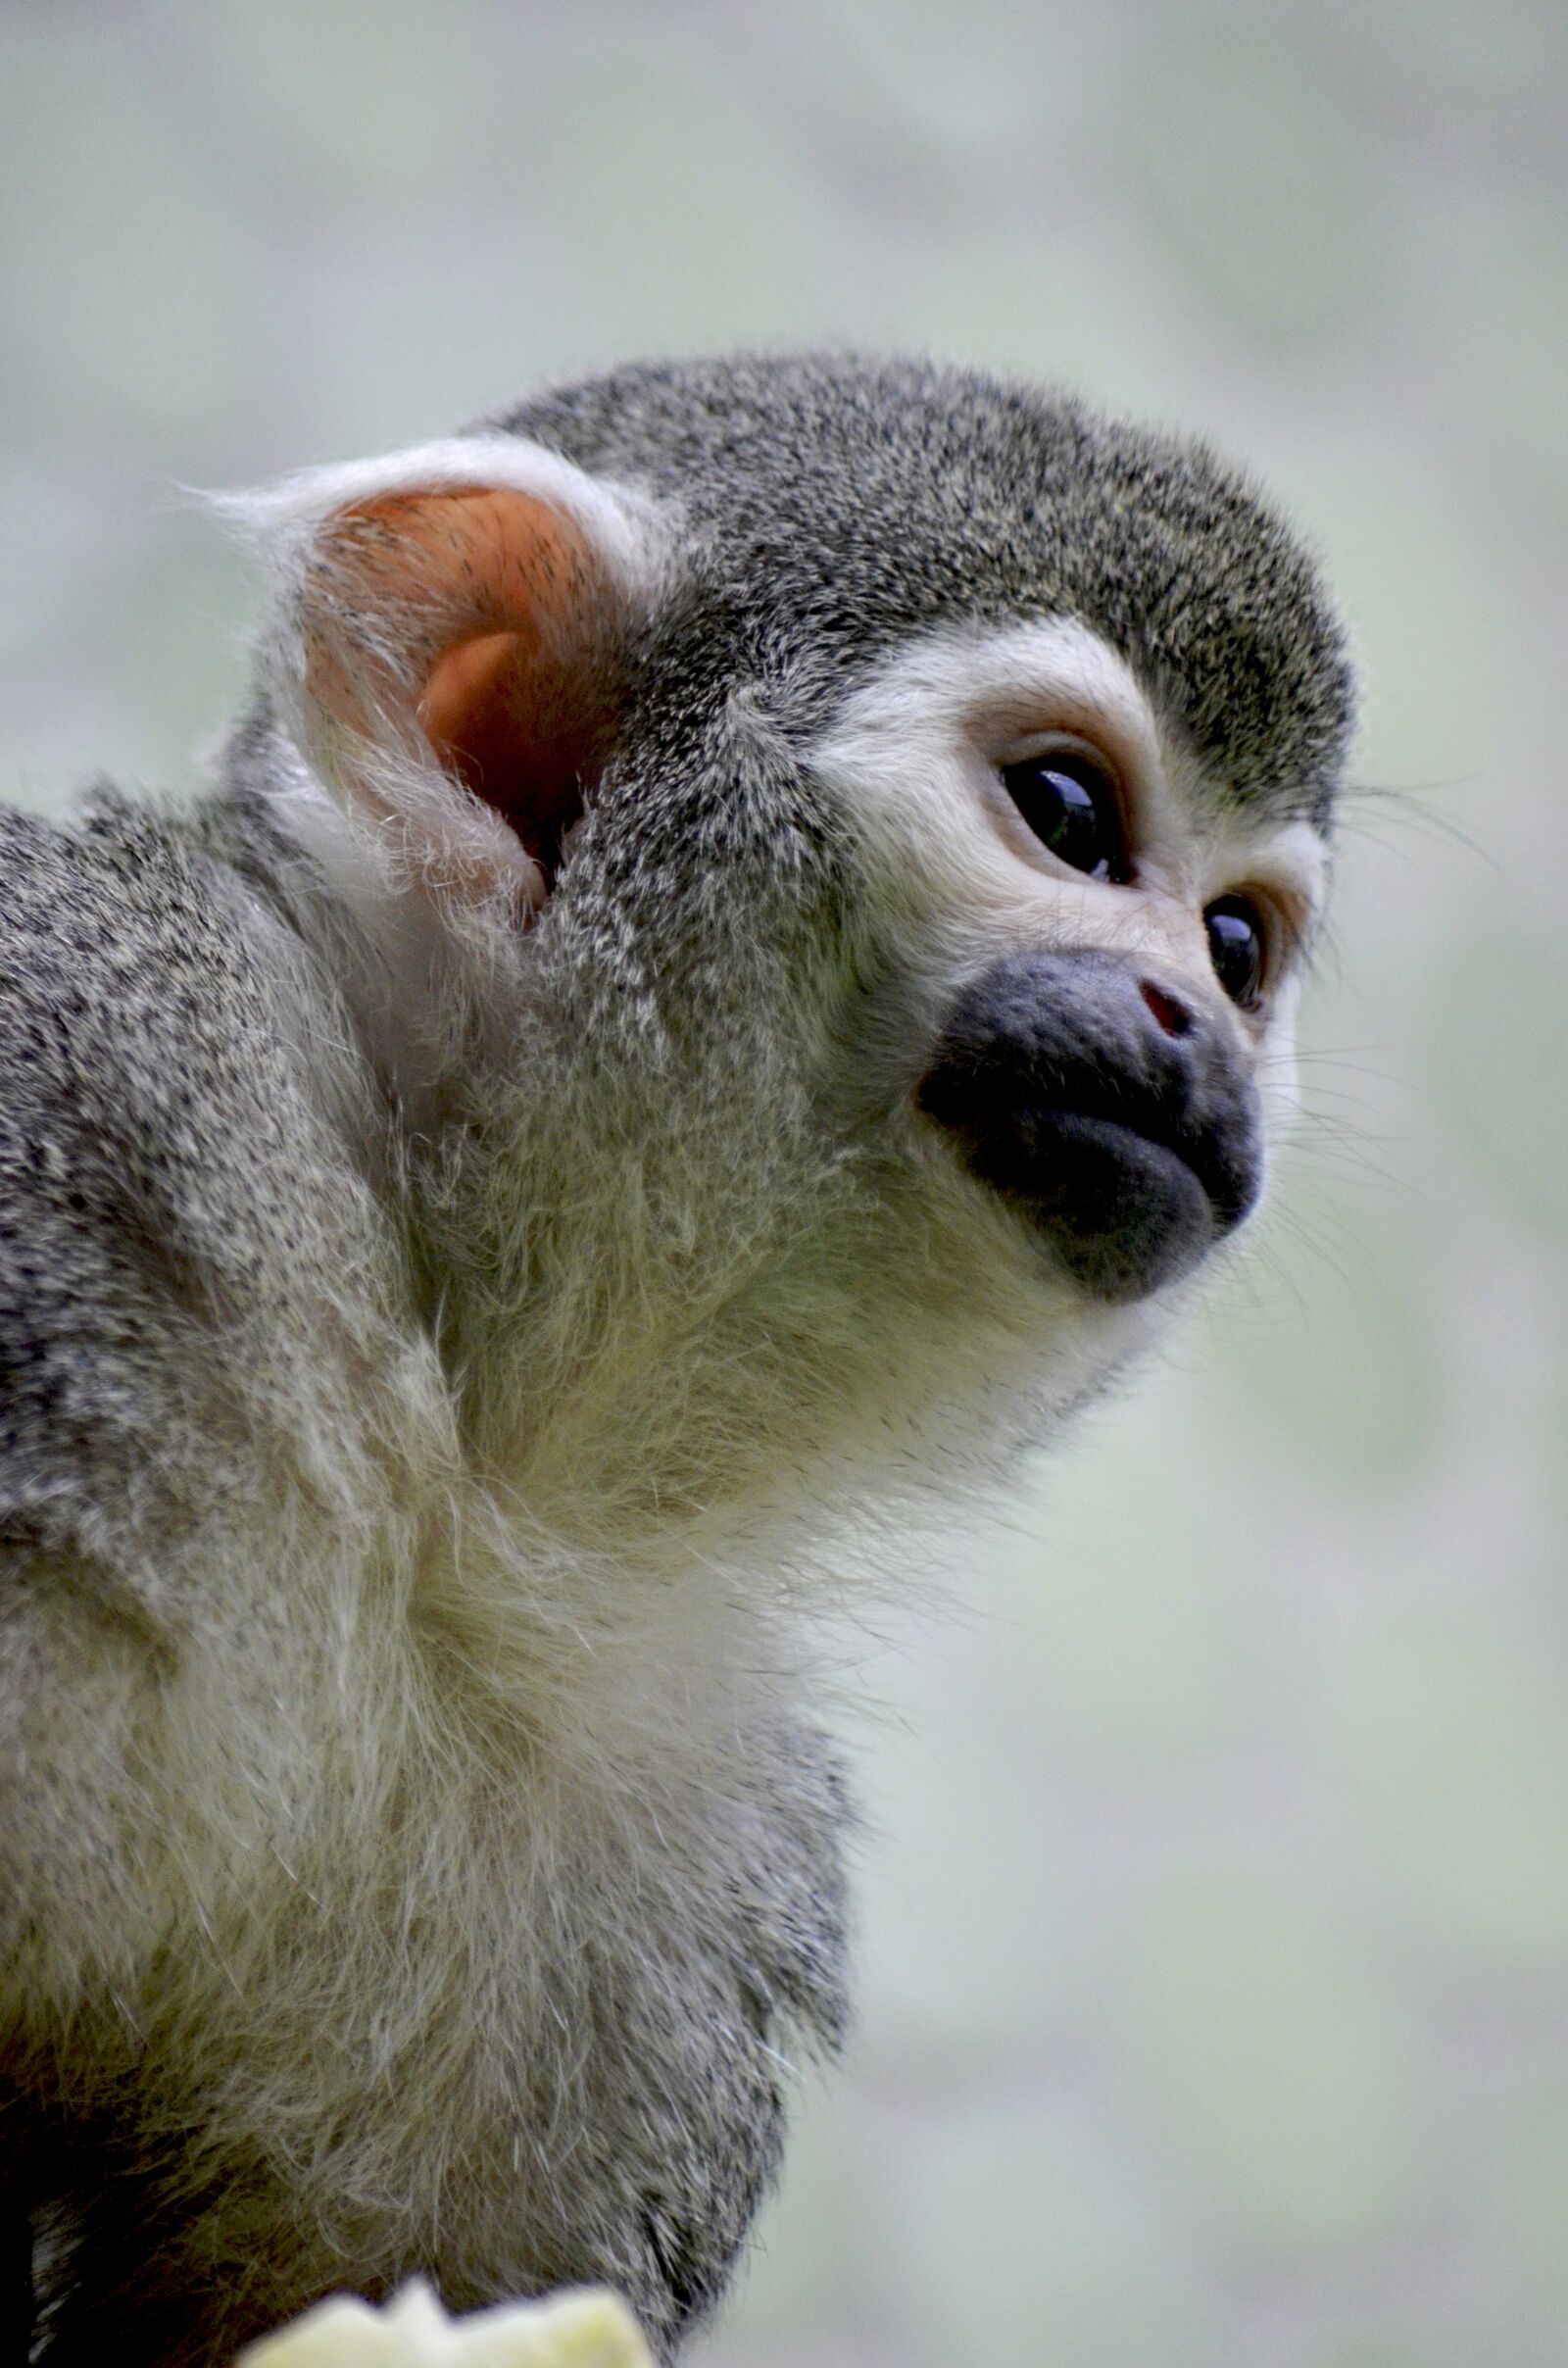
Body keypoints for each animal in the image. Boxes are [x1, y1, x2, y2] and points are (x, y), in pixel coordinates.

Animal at [0, 353, 1354, 2366]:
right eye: (1065, 810)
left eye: (1243, 943)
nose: (1197, 1026)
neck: (459, 1426)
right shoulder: (106, 1118)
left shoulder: (676, 1839)